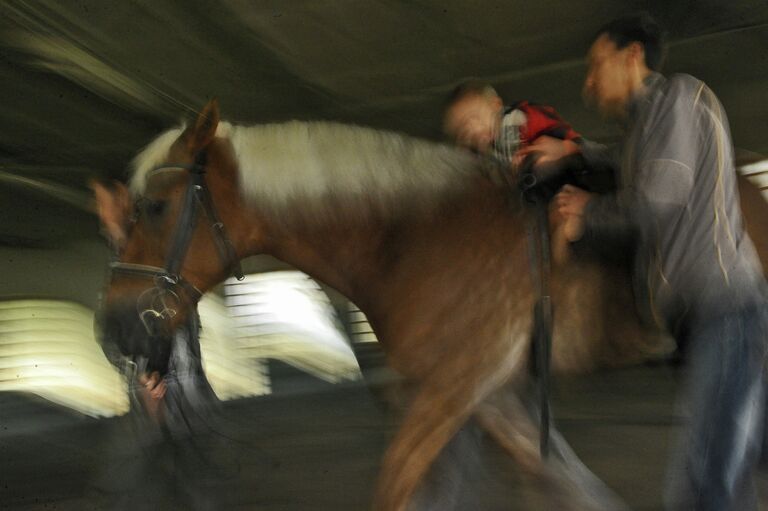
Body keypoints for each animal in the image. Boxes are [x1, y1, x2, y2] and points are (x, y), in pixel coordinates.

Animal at [94, 98, 768, 510]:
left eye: (154, 207)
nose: (114, 329)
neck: (416, 237)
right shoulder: (488, 396)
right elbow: (565, 486)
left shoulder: (453, 388)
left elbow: (397, 486)